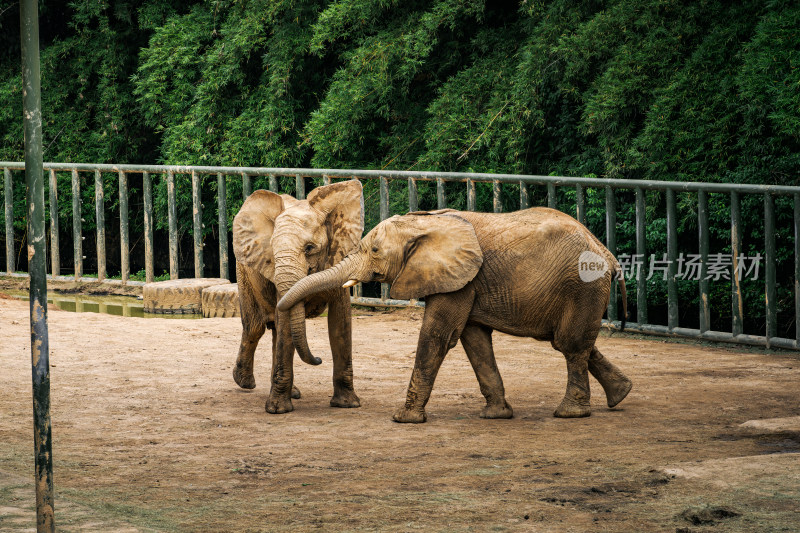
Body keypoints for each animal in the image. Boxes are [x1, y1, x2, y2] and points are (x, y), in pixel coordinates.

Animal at [231, 178, 366, 412]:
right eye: (272, 250)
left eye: (309, 248)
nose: (319, 359)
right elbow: (285, 324)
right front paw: (278, 410)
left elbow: (340, 322)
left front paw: (348, 404)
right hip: (243, 272)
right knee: (255, 328)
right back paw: (244, 382)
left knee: (272, 330)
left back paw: (291, 392)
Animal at [278, 206, 636, 422]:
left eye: (375, 251)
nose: (318, 359)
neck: (427, 221)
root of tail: (608, 254)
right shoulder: (465, 281)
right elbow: (474, 340)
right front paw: (496, 415)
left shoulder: (460, 280)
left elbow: (438, 335)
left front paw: (404, 419)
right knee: (574, 343)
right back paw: (621, 395)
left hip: (582, 285)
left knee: (570, 345)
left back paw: (570, 414)